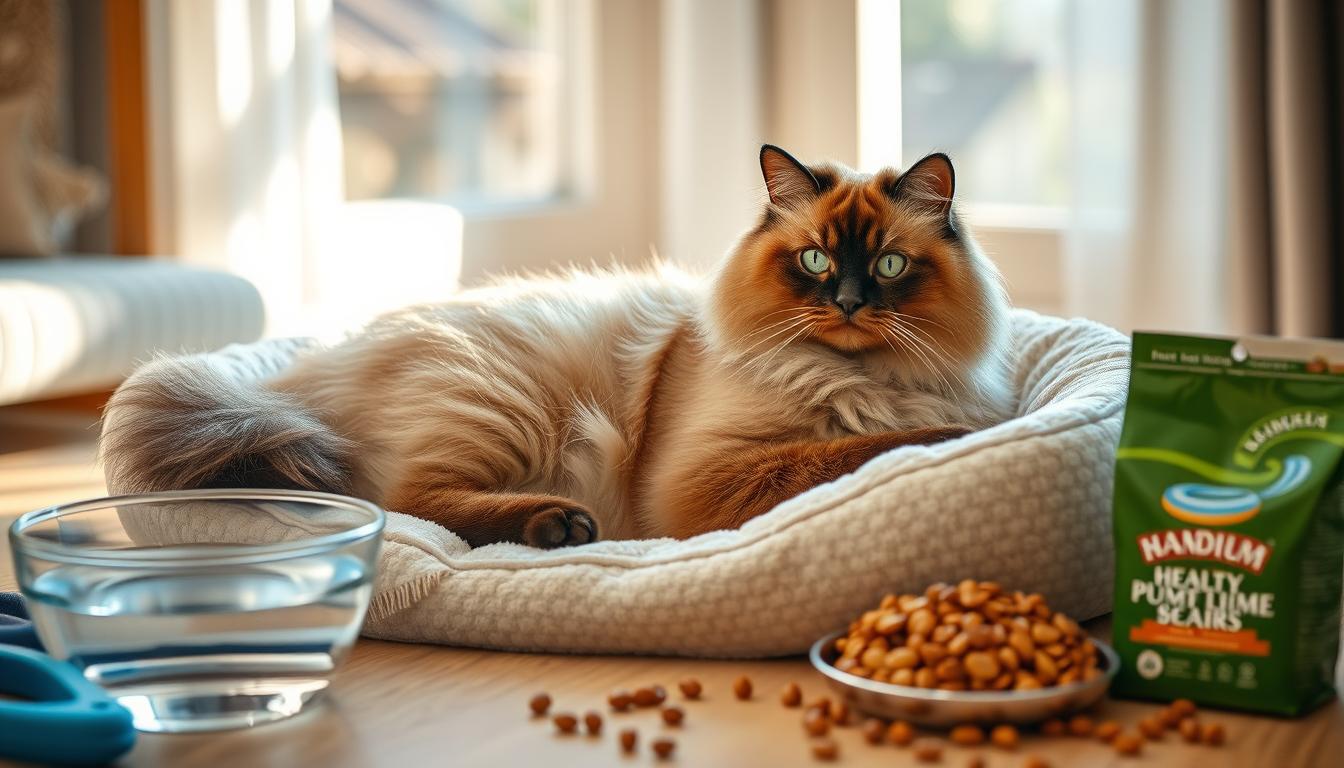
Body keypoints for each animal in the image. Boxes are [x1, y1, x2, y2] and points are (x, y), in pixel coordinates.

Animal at [102, 145, 1010, 546]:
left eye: (889, 264)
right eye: (816, 261)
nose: (851, 303)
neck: (854, 377)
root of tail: (291, 382)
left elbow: (881, 439)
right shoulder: (708, 479)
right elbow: (871, 448)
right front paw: (954, 439)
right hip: (502, 403)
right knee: (404, 507)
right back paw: (559, 526)